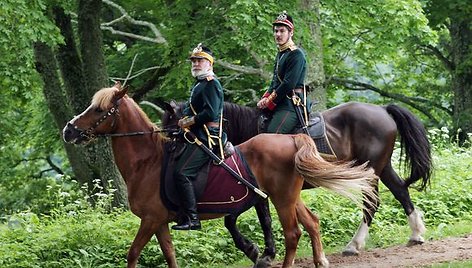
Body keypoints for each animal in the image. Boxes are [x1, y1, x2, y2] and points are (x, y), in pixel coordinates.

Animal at [63, 82, 380, 266]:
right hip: (290, 198)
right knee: (311, 223)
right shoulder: (160, 222)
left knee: (293, 233)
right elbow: (170, 255)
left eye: (100, 109)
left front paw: (257, 253)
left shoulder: (150, 220)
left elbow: (132, 254)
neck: (147, 161)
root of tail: (291, 139)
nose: (69, 130)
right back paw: (321, 260)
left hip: (282, 199)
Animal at [160, 99, 434, 254]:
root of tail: (383, 109)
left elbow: (259, 219)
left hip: (370, 171)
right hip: (382, 167)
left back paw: (354, 245)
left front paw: (263, 252)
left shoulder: (254, 189)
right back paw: (416, 234)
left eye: (170, 120)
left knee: (372, 203)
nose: (166, 147)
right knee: (400, 191)